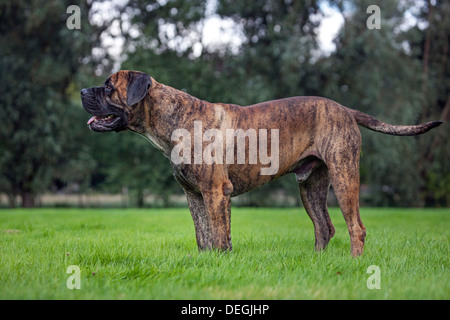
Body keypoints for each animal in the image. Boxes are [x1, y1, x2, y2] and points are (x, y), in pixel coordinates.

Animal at [81, 69, 442, 255]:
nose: (83, 91)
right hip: (311, 187)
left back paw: (354, 264)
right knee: (324, 227)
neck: (175, 121)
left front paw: (220, 262)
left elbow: (219, 234)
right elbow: (203, 235)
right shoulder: (194, 196)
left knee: (356, 227)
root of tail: (345, 109)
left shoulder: (216, 192)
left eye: (109, 87)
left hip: (344, 177)